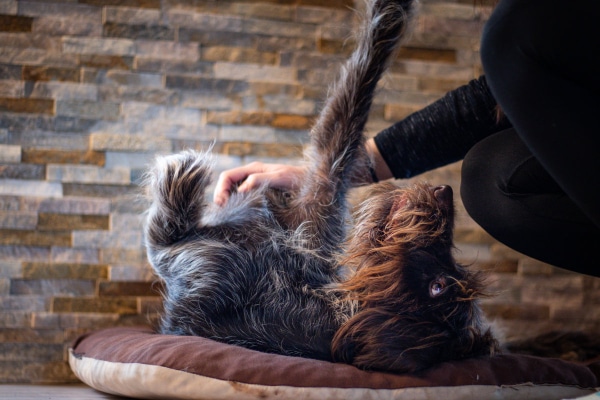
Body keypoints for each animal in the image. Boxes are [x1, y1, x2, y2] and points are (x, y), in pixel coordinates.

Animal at [143, 0, 500, 376]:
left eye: (437, 287)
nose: (446, 193)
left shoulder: (202, 265)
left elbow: (348, 107)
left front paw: (179, 175)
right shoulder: (314, 219)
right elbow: (352, 108)